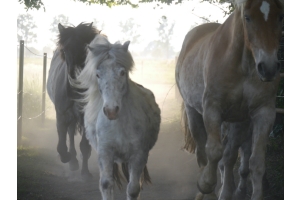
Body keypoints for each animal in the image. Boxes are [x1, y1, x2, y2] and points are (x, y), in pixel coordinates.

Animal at [46, 22, 98, 180]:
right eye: (65, 49)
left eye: (85, 48)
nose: (75, 76)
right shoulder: (62, 114)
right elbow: (62, 144)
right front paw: (67, 158)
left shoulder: (86, 116)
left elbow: (85, 147)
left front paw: (85, 173)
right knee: (69, 134)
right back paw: (73, 161)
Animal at [69, 35, 162, 199]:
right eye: (98, 74)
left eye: (122, 72)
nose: (111, 110)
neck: (119, 125)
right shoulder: (105, 153)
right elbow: (106, 184)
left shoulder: (138, 156)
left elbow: (133, 189)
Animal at [175, 0, 282, 200]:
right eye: (247, 17)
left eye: (280, 17)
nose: (268, 68)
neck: (243, 65)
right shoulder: (212, 108)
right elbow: (214, 151)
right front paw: (206, 184)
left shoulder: (261, 113)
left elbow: (254, 162)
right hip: (193, 112)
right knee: (202, 152)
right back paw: (207, 191)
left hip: (236, 122)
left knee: (230, 156)